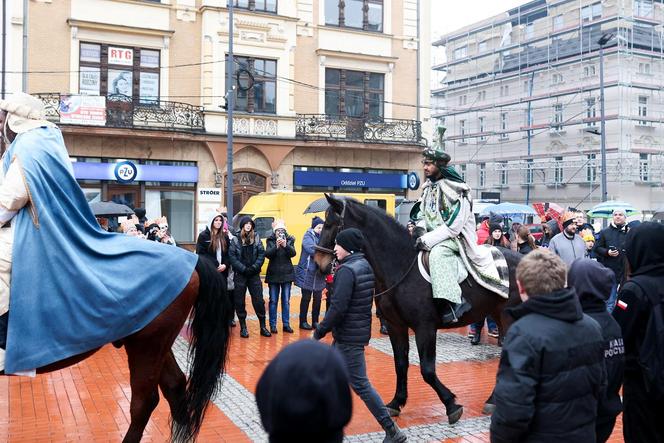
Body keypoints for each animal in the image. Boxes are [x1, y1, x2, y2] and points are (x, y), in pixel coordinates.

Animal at [314, 197, 520, 424]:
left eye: (331, 224)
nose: (318, 263)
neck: (401, 265)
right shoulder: (395, 326)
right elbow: (400, 364)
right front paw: (396, 402)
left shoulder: (425, 328)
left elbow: (427, 370)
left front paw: (451, 404)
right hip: (498, 315)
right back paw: (493, 400)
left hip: (509, 318)